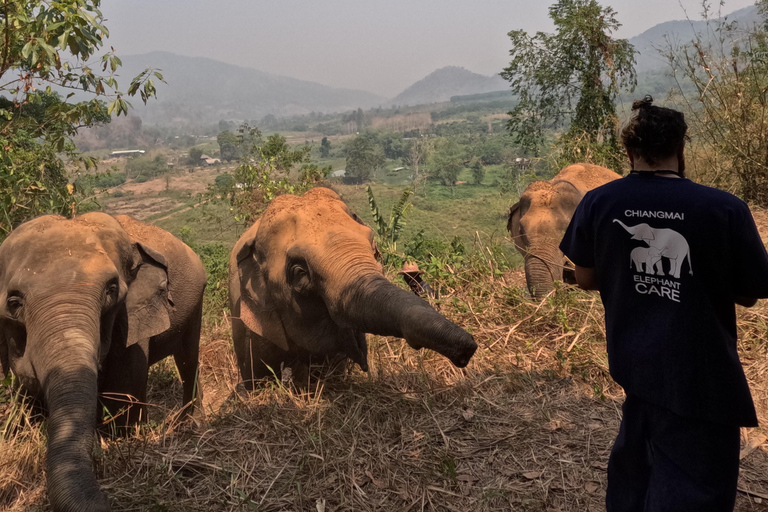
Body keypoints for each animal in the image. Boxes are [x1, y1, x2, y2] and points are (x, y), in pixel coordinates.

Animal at [0, 212, 207, 512]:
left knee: (188, 359)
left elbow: (123, 389)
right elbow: (25, 394)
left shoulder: (130, 318)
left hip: (196, 301)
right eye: (14, 302)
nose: (106, 497)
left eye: (111, 290)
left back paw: (189, 423)